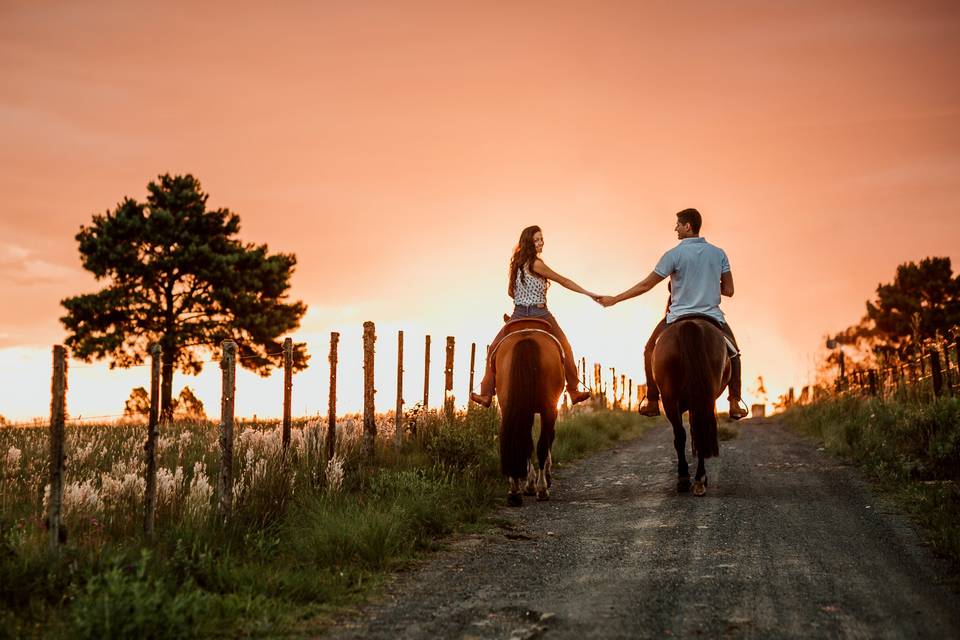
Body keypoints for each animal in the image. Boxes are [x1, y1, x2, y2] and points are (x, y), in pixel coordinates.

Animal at [492, 322, 568, 508]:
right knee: (541, 445)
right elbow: (546, 441)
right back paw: (542, 489)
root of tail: (526, 339)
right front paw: (541, 481)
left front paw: (529, 484)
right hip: (548, 408)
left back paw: (514, 493)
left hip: (509, 406)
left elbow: (527, 443)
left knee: (520, 440)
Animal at [652, 318, 736, 498]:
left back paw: (687, 478)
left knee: (684, 434)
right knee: (697, 431)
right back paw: (698, 479)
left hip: (672, 400)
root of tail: (690, 323)